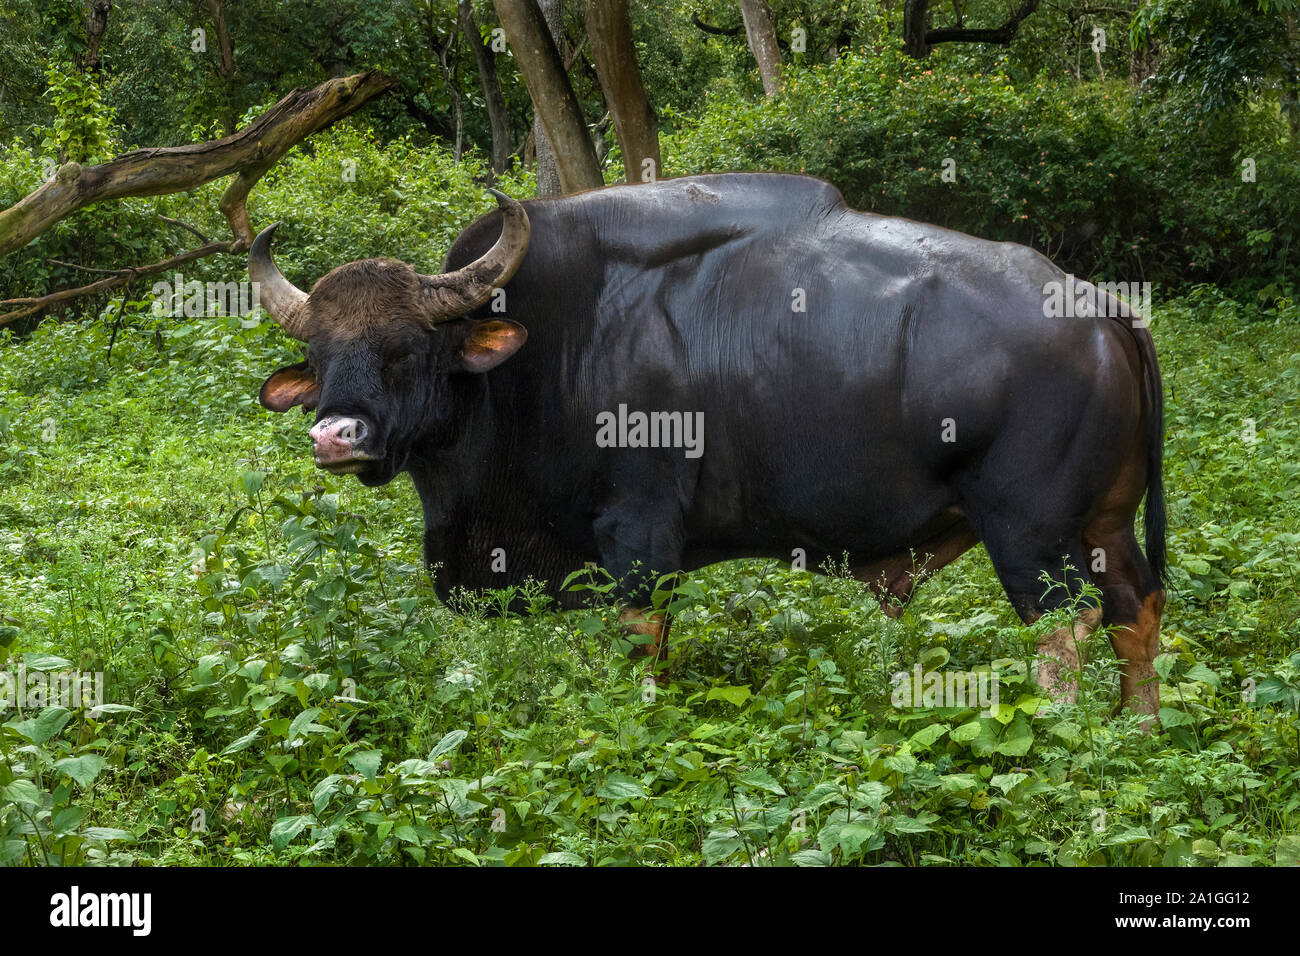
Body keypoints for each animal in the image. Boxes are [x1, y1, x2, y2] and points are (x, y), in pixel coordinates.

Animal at [253, 171, 1170, 712]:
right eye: (322, 357)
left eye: (406, 350)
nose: (335, 433)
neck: (547, 350)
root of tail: (1100, 308)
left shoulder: (637, 538)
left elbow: (640, 650)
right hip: (1104, 525)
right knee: (1137, 606)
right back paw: (1136, 728)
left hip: (1028, 532)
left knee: (1067, 624)